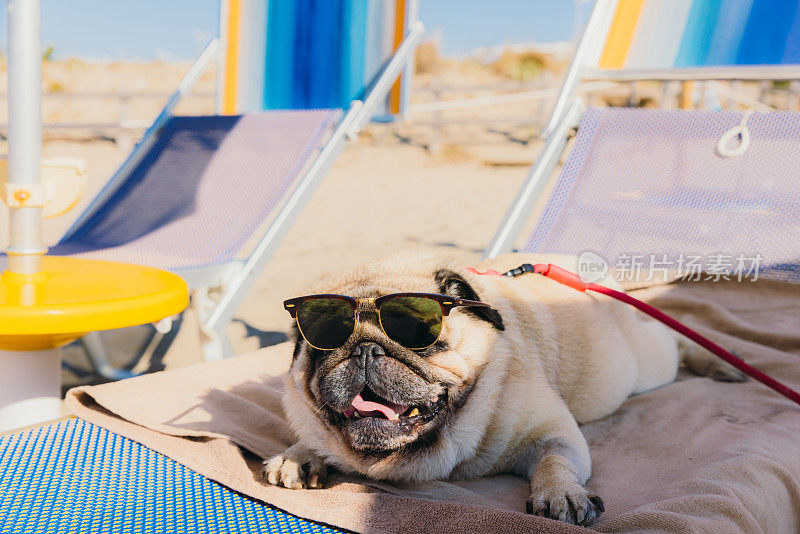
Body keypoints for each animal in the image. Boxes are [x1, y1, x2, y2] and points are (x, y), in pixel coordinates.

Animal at [264, 252, 744, 528]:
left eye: (418, 332)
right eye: (324, 344)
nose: (364, 350)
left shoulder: (552, 432)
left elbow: (555, 459)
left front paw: (561, 493)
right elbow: (314, 438)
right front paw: (298, 454)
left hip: (640, 366)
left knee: (674, 340)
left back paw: (720, 364)